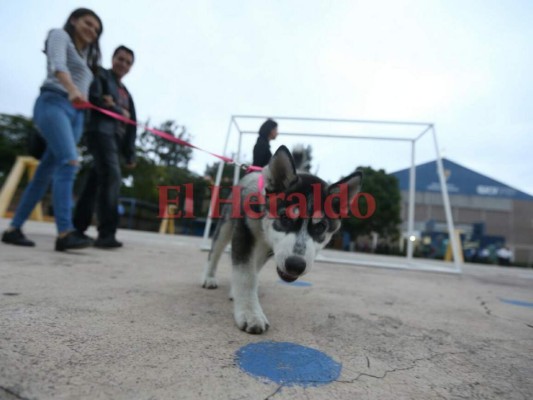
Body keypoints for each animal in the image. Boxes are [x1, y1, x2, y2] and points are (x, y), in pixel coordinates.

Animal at [201, 145, 362, 332]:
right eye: (285, 218)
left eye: (320, 227)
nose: (295, 265)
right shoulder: (244, 233)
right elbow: (246, 275)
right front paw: (250, 313)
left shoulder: (268, 248)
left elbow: (252, 271)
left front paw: (242, 297)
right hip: (226, 224)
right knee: (215, 250)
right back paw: (209, 278)